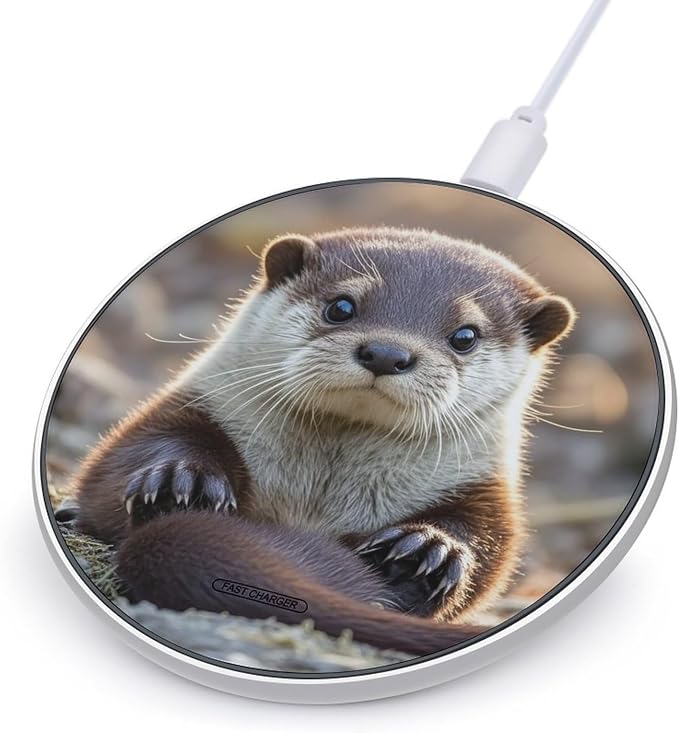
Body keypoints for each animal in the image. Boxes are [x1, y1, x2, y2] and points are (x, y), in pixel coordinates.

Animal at [68, 227, 575, 657]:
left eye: (465, 336)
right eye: (341, 306)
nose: (386, 353)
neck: (317, 498)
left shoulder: (484, 490)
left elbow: (488, 549)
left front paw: (430, 549)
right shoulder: (188, 408)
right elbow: (114, 472)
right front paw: (182, 481)